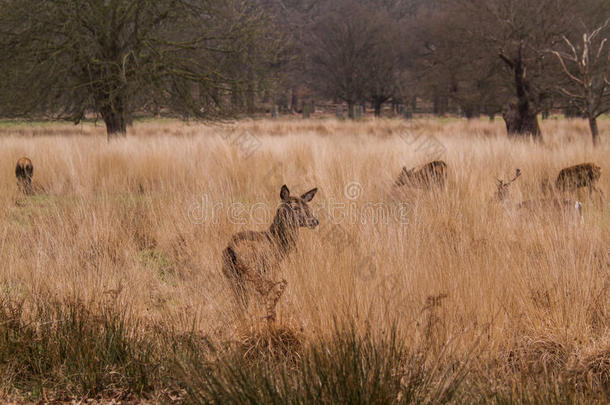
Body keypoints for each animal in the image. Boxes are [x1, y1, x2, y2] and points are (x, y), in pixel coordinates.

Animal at [222, 184, 318, 322]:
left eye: (308, 206)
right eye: (294, 207)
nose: (314, 221)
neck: (277, 245)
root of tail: (231, 249)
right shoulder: (272, 270)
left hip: (231, 276)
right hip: (251, 273)